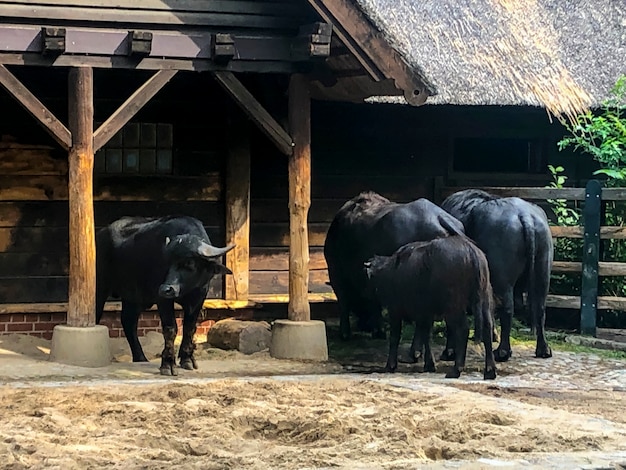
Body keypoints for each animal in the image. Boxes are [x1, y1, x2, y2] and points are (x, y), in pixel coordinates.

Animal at [95, 216, 234, 374]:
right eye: (167, 262)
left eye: (189, 262)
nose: (166, 289)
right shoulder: (163, 300)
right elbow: (170, 328)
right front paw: (168, 364)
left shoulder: (199, 296)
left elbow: (189, 328)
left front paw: (187, 360)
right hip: (100, 288)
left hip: (133, 297)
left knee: (128, 321)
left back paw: (141, 358)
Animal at [364, 237, 494, 380]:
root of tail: (471, 252)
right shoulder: (426, 313)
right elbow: (427, 336)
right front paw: (429, 364)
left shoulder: (395, 310)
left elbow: (395, 337)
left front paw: (390, 365)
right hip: (485, 299)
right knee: (487, 328)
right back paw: (490, 371)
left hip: (454, 305)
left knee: (462, 330)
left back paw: (456, 370)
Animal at [438, 189, 552, 362]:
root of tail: (525, 215)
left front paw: (449, 351)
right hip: (542, 269)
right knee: (539, 308)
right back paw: (543, 349)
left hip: (502, 280)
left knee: (507, 308)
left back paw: (502, 352)